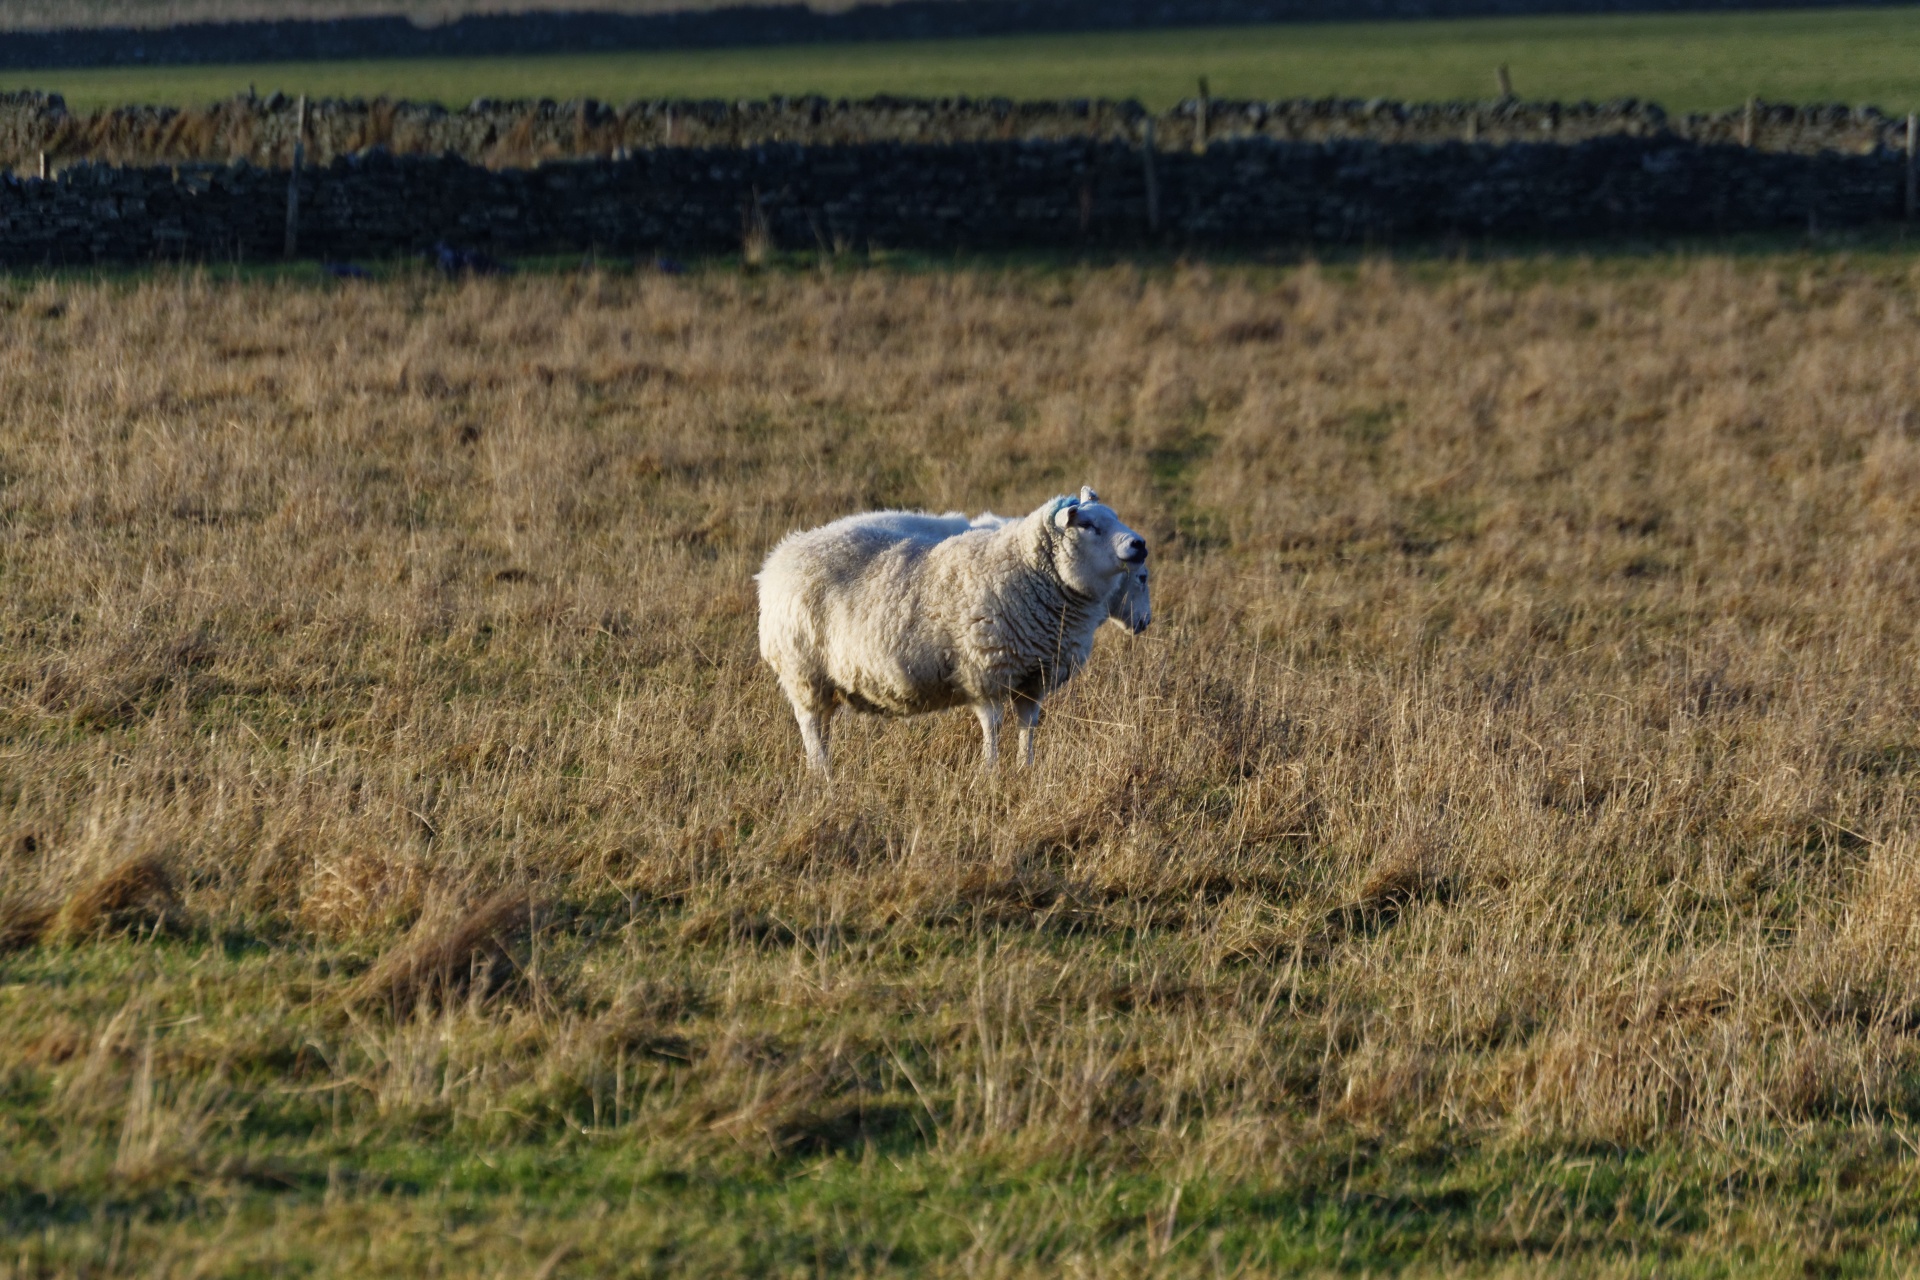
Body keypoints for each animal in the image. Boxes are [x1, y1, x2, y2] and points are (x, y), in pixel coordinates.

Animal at [756, 487, 1144, 771]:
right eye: (1088, 526)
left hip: (821, 682)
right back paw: (822, 776)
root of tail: (776, 561)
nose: (1139, 544)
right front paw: (990, 772)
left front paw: (1025, 767)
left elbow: (1028, 726)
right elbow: (993, 726)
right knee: (811, 729)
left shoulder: (1034, 678)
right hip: (803, 674)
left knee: (822, 729)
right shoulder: (985, 672)